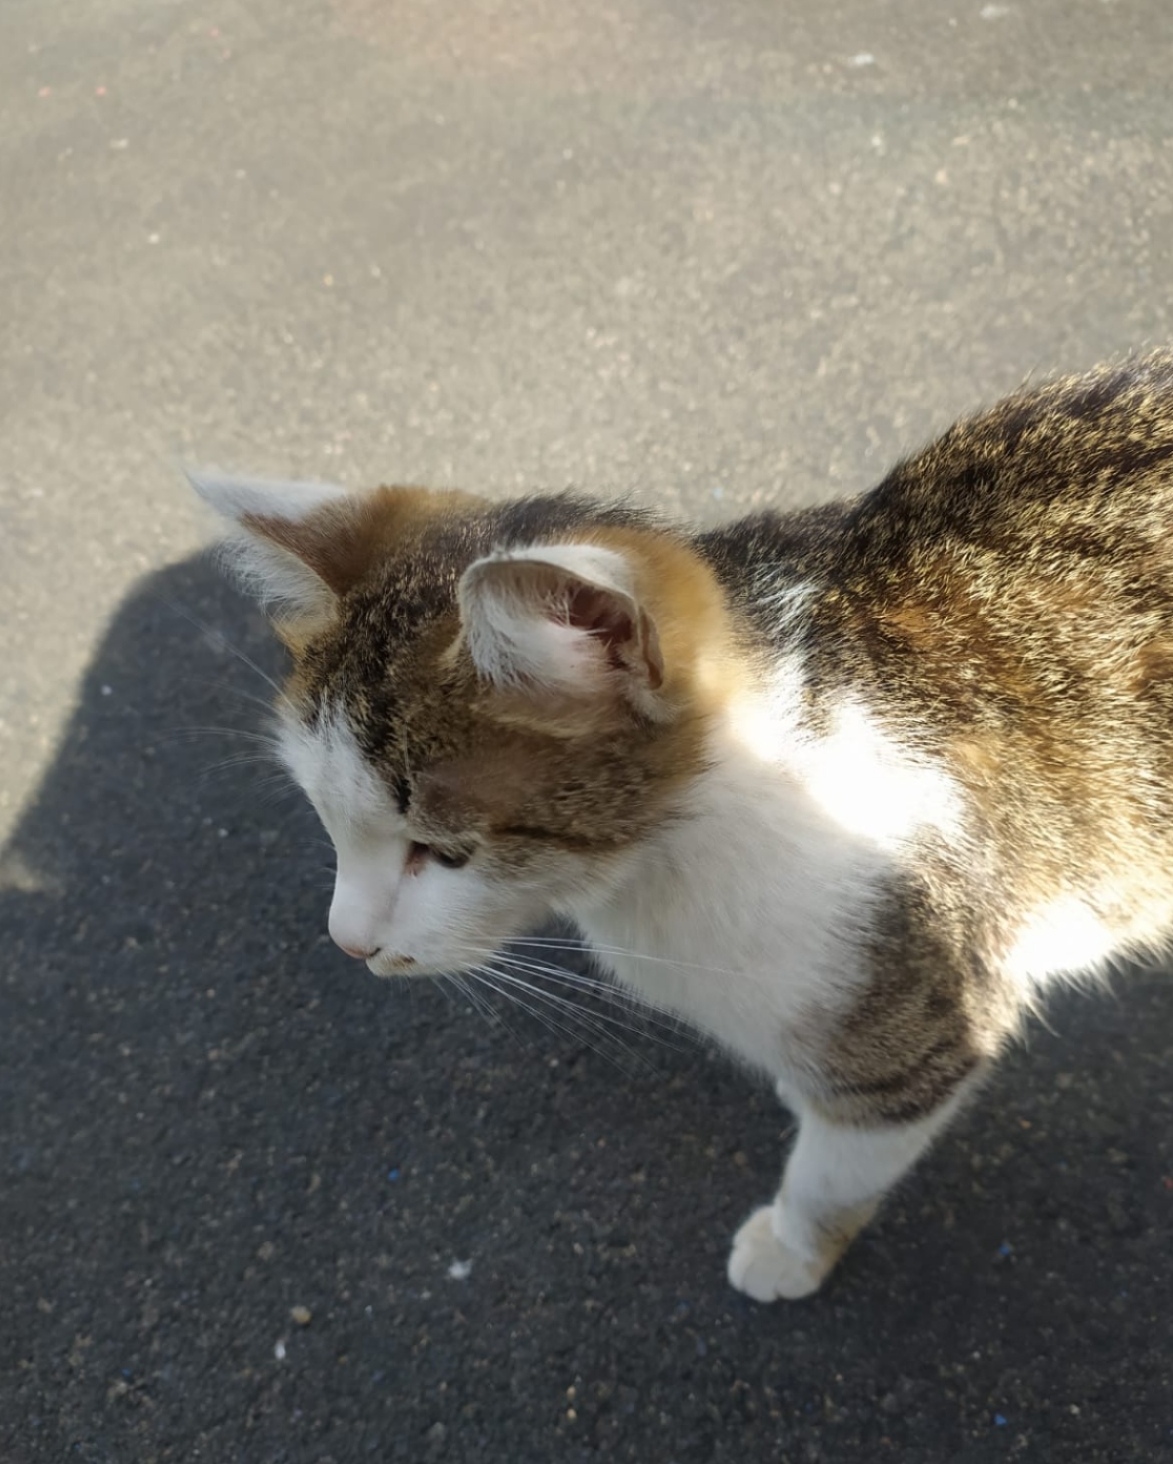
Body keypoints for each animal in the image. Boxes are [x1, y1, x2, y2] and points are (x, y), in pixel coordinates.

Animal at [189, 352, 1173, 1302]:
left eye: (446, 852)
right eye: (325, 820)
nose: (347, 942)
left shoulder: (923, 996)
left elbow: (845, 1154)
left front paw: (792, 1245)